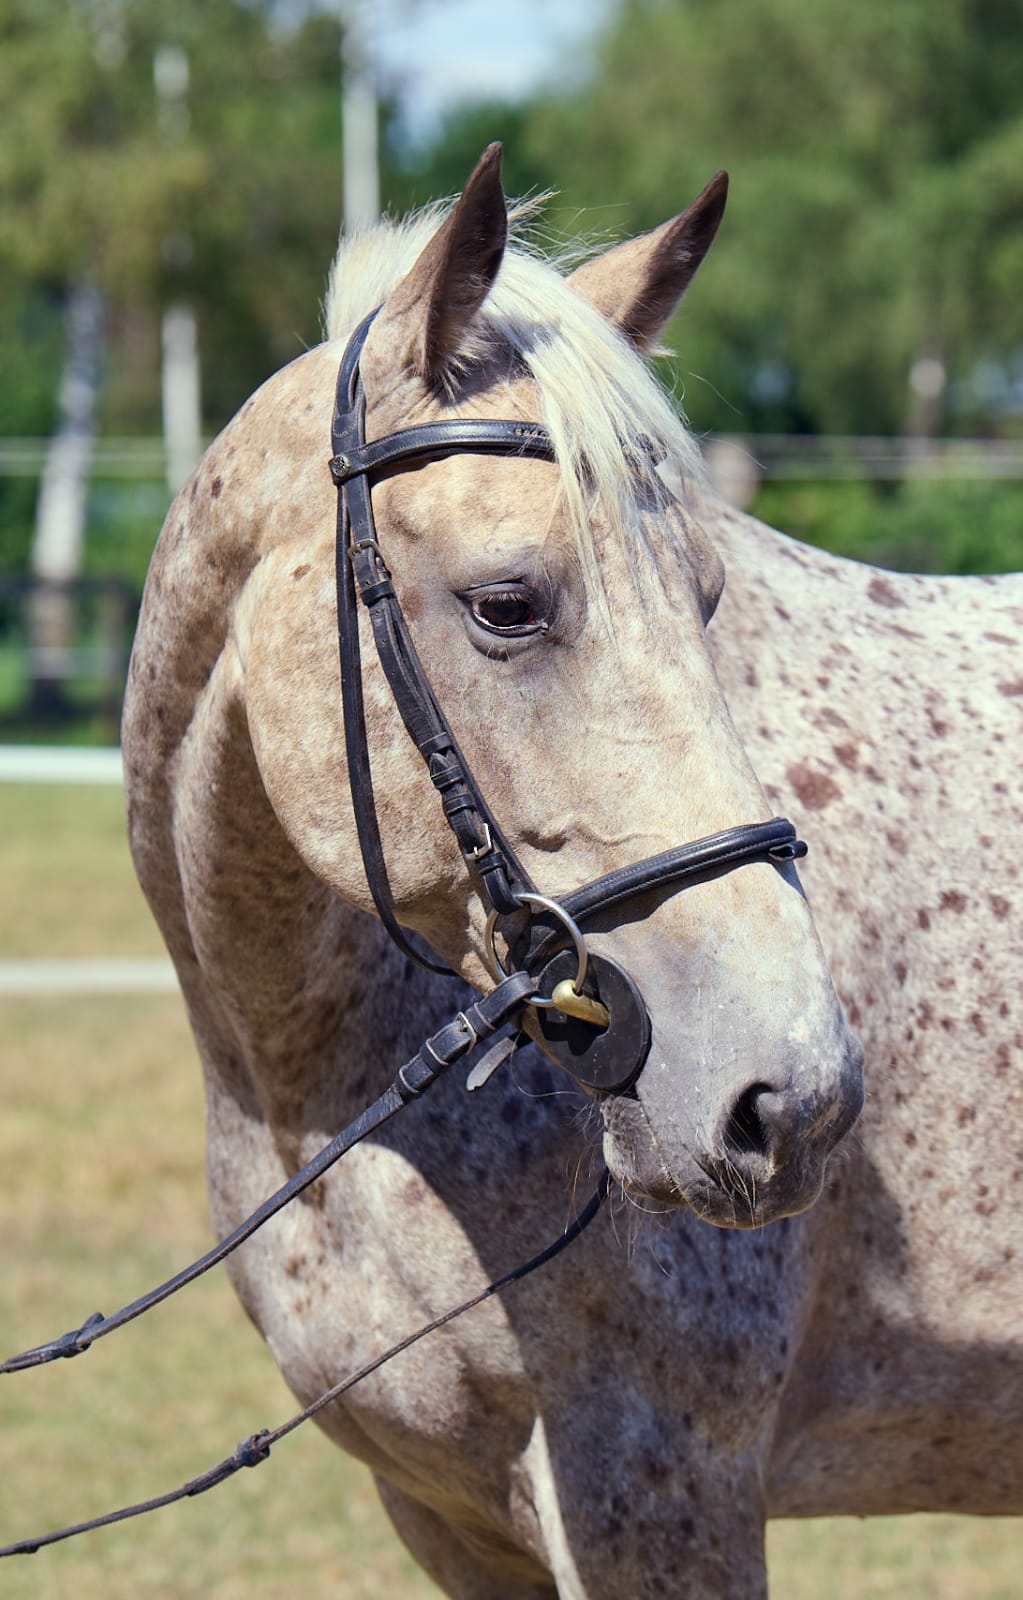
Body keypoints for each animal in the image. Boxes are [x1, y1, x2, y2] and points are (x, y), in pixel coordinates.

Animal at [121, 144, 1023, 1593]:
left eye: (707, 599)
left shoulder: (656, 1486)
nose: (796, 1100)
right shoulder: (444, 1512)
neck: (319, 1082)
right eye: (506, 604)